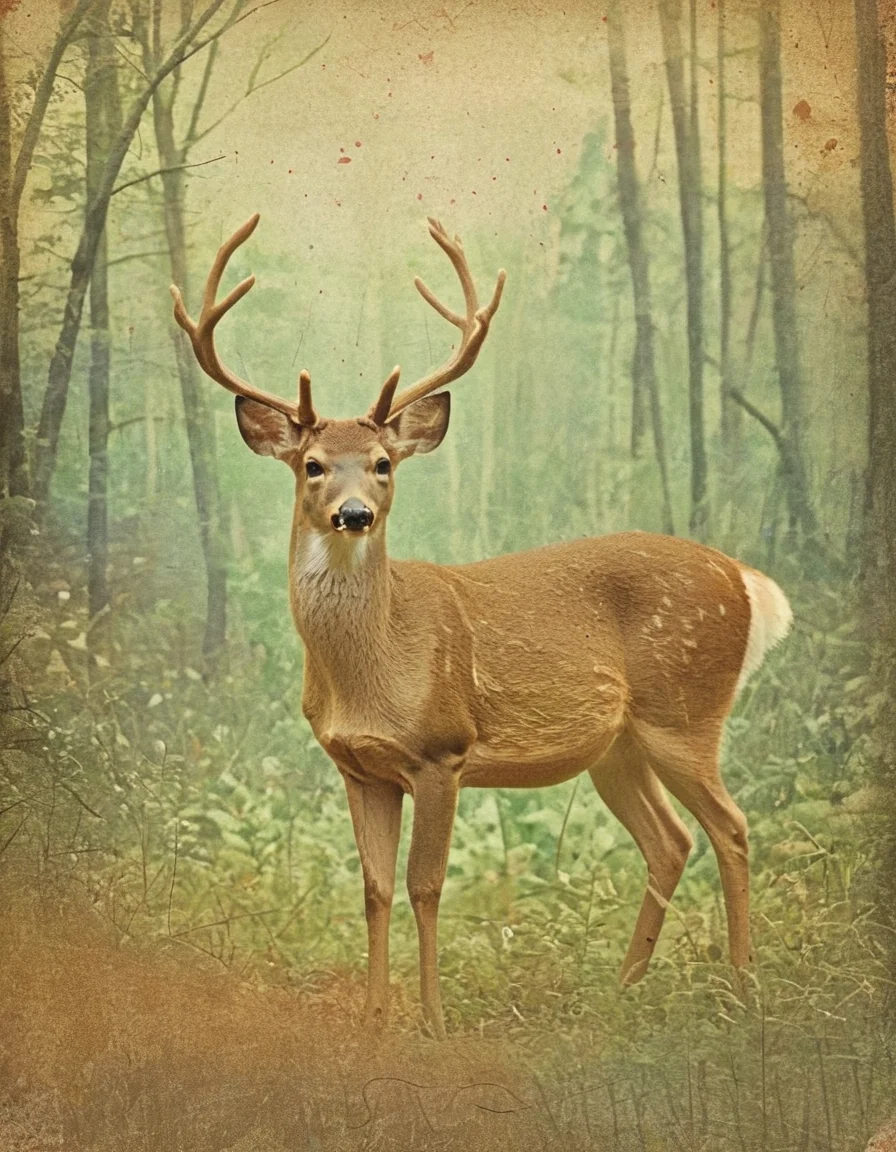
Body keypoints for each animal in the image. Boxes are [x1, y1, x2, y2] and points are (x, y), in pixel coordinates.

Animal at [171, 214, 793, 1039]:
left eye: (382, 463)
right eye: (312, 464)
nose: (354, 514)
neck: (373, 667)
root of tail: (746, 581)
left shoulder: (442, 750)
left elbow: (425, 886)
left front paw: (433, 1021)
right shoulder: (356, 766)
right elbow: (373, 888)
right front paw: (373, 1020)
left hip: (685, 711)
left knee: (731, 826)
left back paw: (744, 987)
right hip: (618, 745)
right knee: (671, 839)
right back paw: (622, 988)